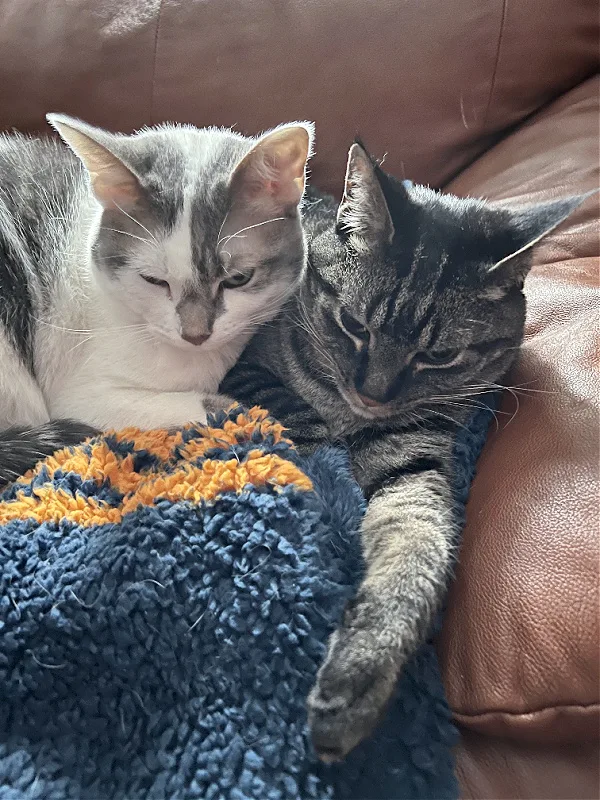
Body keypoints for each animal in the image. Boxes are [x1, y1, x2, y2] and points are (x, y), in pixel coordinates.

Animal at [0, 115, 312, 484]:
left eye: (238, 279)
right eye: (153, 280)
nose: (195, 334)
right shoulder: (80, 396)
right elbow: (220, 409)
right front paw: (251, 418)